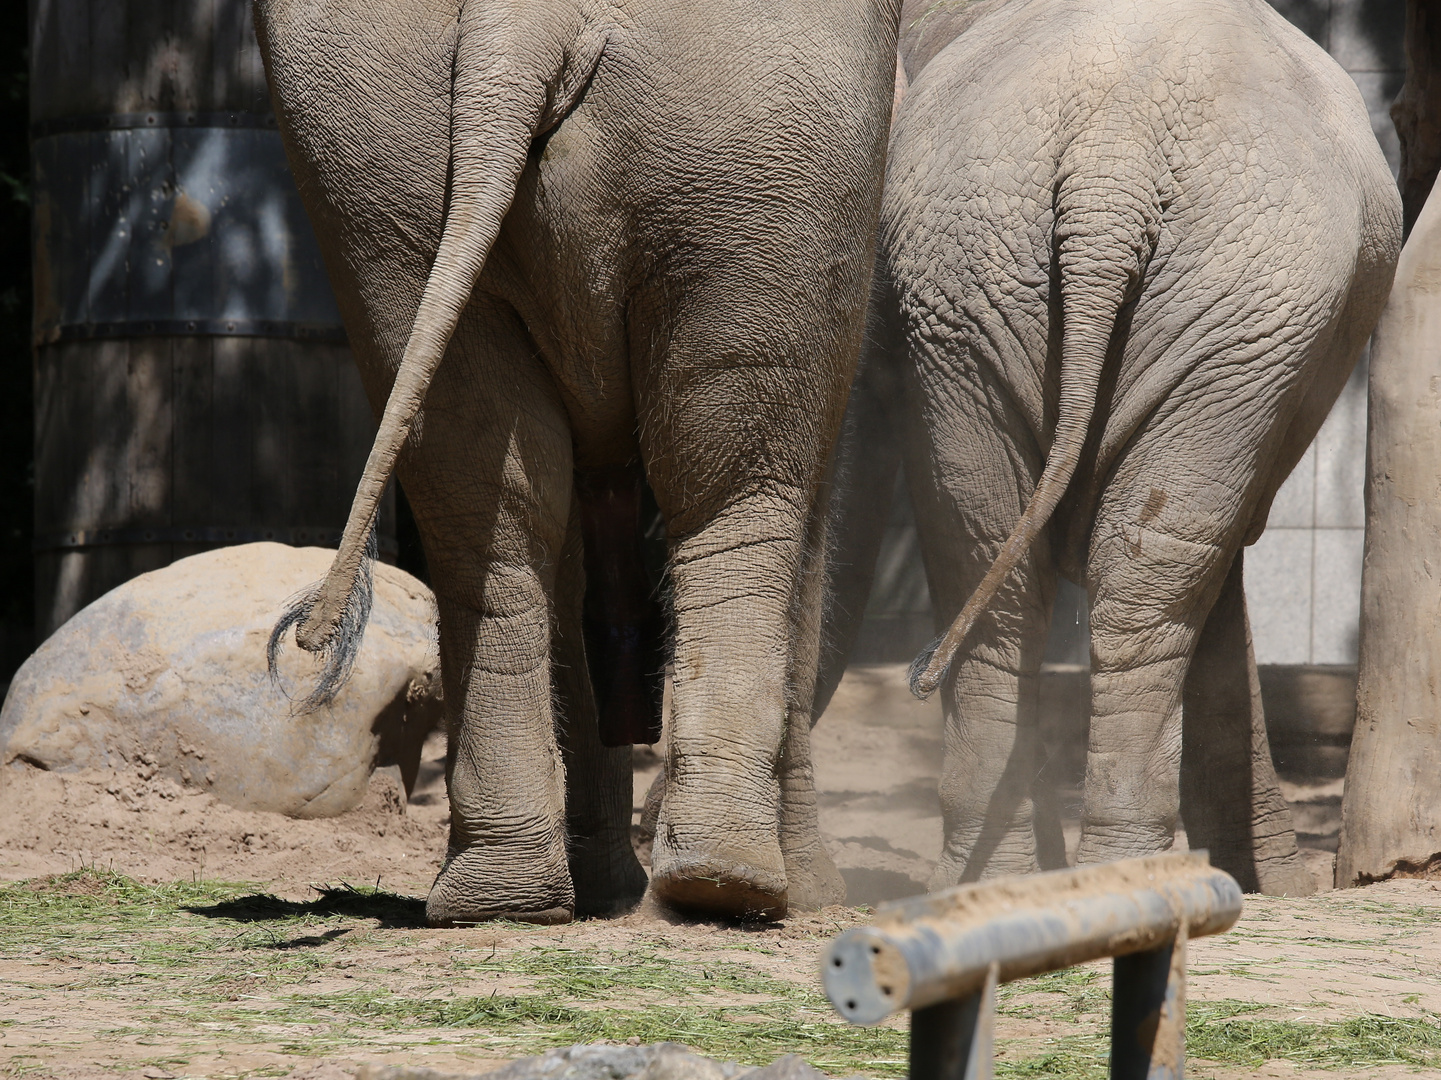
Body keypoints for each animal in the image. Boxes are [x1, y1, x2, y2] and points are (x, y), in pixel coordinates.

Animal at [250, 2, 899, 928]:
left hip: (367, 157)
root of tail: (517, 28)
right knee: (733, 485)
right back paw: (722, 888)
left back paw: (502, 896)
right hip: (763, 152)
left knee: (482, 488)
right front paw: (807, 895)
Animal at [824, 0, 1406, 893]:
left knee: (1001, 541)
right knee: (1139, 565)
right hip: (1154, 295)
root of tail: (1112, 158)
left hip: (1048, 283)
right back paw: (1114, 873)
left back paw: (1003, 878)